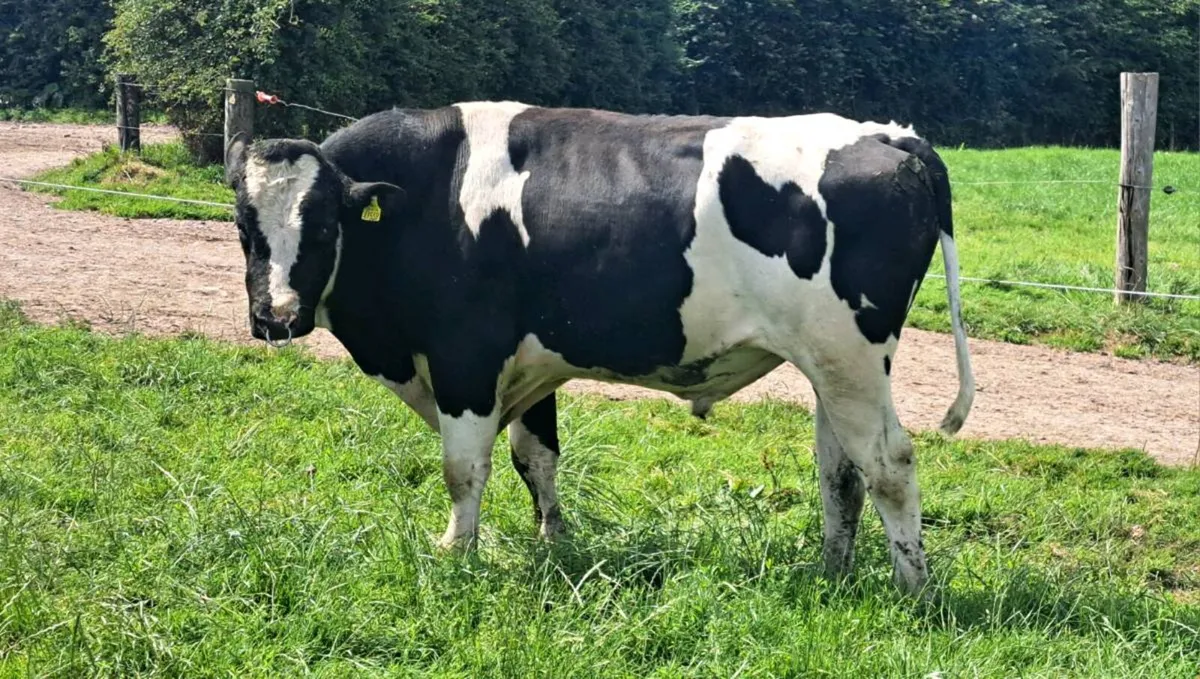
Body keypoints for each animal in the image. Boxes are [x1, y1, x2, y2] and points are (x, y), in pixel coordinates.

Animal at [223, 101, 975, 596]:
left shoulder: (467, 356)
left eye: (324, 225)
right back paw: (831, 573)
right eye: (244, 226)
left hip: (849, 357)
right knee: (840, 471)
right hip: (830, 366)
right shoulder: (530, 363)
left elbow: (463, 469)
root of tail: (892, 135)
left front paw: (457, 553)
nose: (275, 316)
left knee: (889, 463)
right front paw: (554, 543)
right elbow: (536, 457)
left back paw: (913, 587)